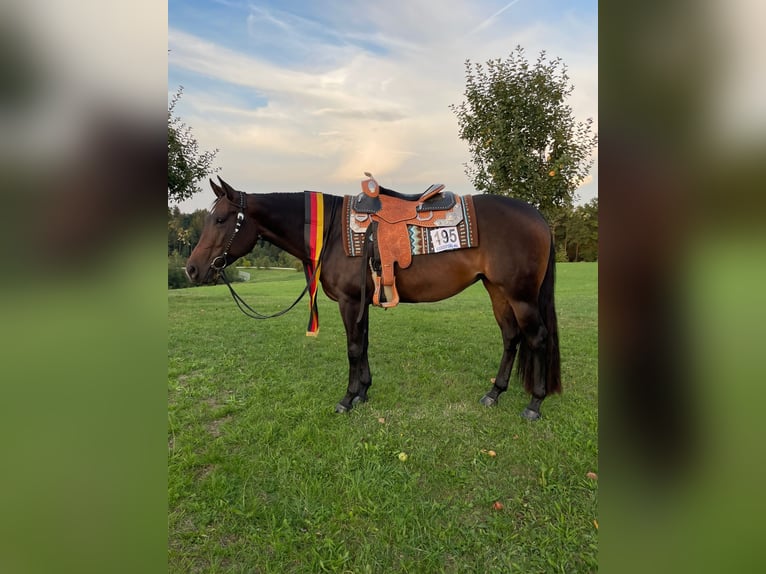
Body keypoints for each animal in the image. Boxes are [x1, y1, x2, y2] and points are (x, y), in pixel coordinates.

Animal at [185, 177, 561, 419]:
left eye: (221, 219)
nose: (191, 269)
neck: (331, 232)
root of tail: (537, 215)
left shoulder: (350, 301)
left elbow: (353, 348)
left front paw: (348, 398)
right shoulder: (361, 302)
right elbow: (362, 344)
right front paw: (364, 391)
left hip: (521, 295)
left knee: (537, 338)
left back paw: (535, 403)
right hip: (497, 290)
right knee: (511, 337)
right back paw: (494, 393)